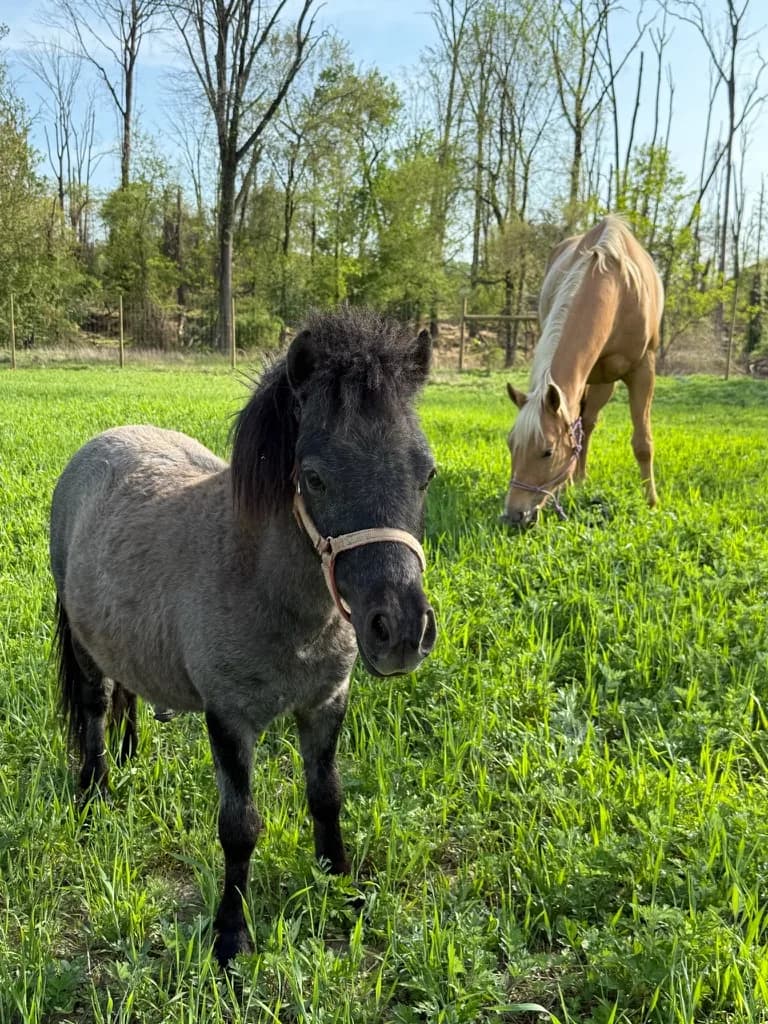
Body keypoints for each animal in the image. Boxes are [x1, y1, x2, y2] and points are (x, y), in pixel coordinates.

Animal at [50, 308, 438, 965]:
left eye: (427, 473)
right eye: (314, 478)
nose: (401, 631)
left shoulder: (325, 704)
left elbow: (327, 796)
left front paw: (343, 890)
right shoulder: (229, 719)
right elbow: (240, 828)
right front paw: (230, 935)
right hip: (81, 640)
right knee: (96, 705)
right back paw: (94, 793)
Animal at [502, 215, 664, 526]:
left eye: (548, 452)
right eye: (511, 444)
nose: (514, 516)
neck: (618, 288)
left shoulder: (643, 369)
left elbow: (643, 442)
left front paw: (651, 502)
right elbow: (576, 427)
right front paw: (567, 488)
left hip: (606, 381)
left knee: (588, 424)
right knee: (585, 425)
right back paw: (577, 481)